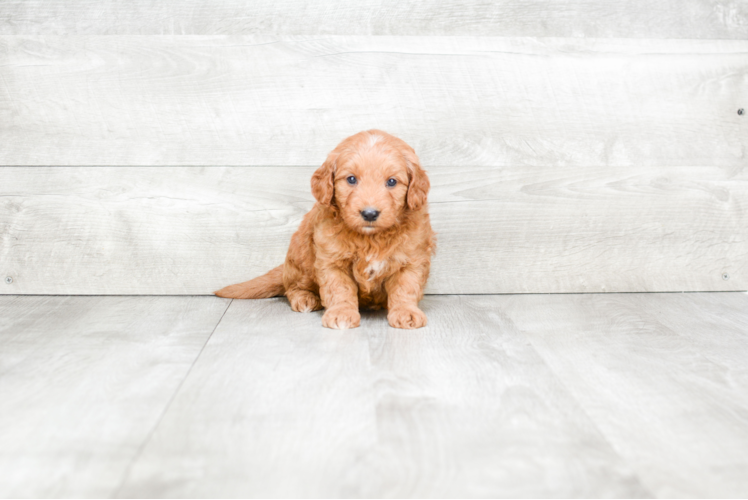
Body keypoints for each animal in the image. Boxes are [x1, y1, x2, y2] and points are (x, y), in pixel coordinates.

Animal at [216, 131, 436, 330]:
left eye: (392, 181)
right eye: (351, 179)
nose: (370, 213)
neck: (370, 239)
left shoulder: (411, 260)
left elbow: (405, 288)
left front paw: (406, 312)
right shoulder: (331, 260)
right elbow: (339, 288)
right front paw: (341, 313)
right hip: (302, 258)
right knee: (292, 287)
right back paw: (305, 298)